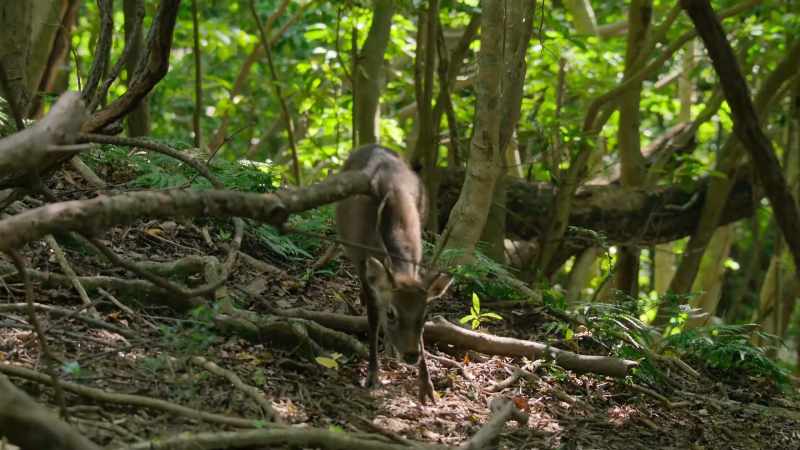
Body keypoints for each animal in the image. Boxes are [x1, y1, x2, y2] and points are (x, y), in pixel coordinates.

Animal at [336, 144, 452, 404]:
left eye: (425, 315)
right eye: (391, 313)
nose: (410, 355)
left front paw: (427, 388)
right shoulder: (364, 265)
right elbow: (373, 318)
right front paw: (372, 376)